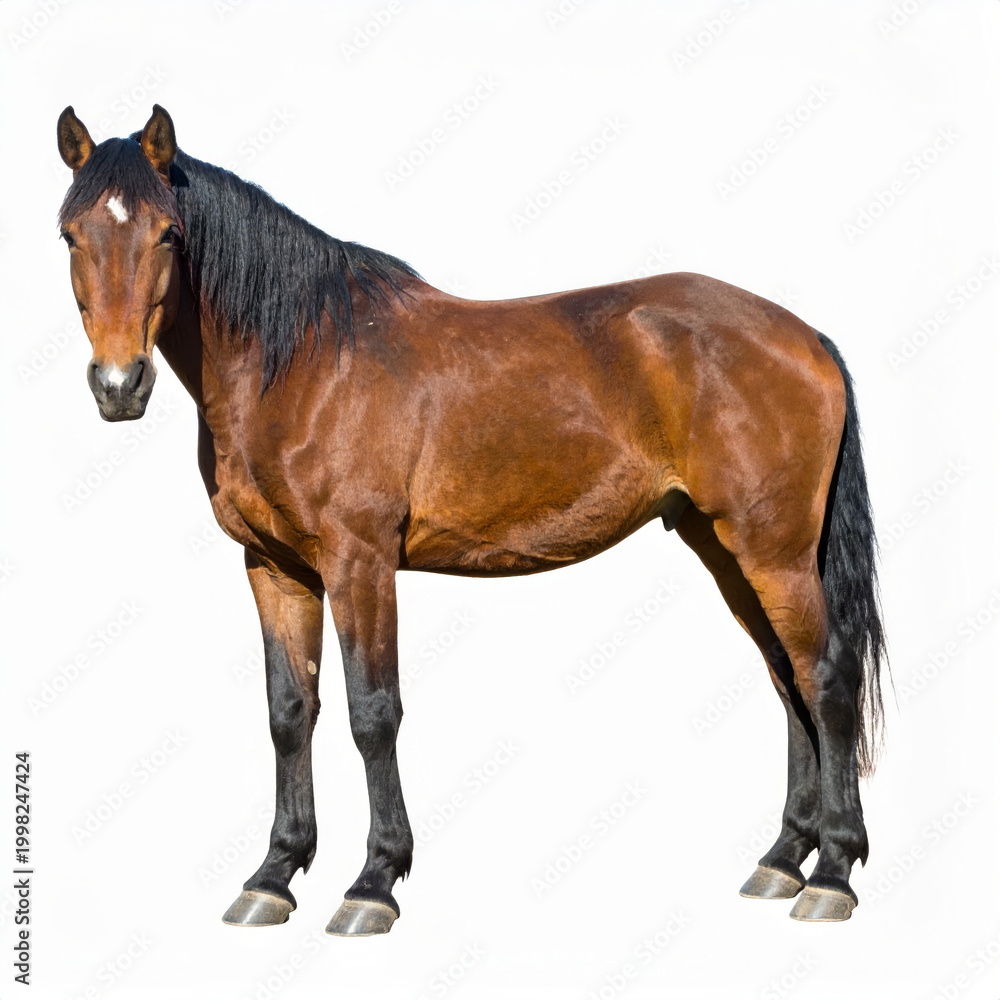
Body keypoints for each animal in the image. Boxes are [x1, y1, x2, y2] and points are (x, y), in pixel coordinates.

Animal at [55, 104, 886, 933]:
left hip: (774, 551)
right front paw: (273, 876)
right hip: (727, 548)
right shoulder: (274, 566)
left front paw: (373, 883)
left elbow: (371, 712)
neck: (304, 362)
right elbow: (290, 712)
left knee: (826, 676)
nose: (119, 384)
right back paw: (782, 862)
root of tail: (804, 337)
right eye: (70, 234)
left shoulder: (360, 560)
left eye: (169, 233)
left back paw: (832, 875)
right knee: (785, 679)